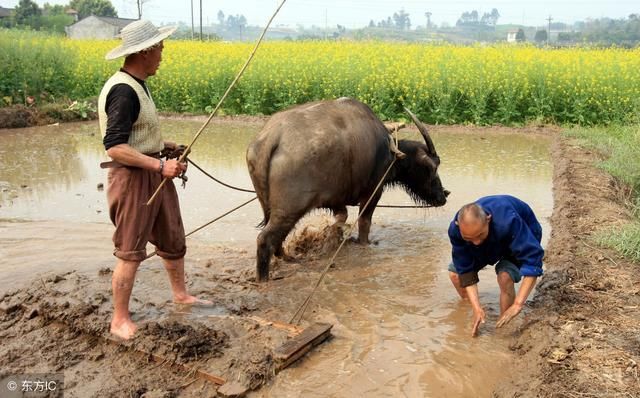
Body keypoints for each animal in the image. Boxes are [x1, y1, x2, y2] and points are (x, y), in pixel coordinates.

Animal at [245, 98, 450, 282]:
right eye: (433, 167)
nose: (443, 196)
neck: (390, 151)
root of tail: (271, 137)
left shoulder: (335, 200)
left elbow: (341, 218)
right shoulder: (373, 191)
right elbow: (364, 222)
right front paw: (364, 243)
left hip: (271, 206)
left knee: (276, 236)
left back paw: (288, 257)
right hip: (290, 209)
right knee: (265, 239)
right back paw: (264, 279)